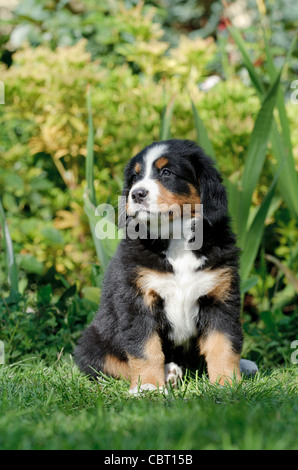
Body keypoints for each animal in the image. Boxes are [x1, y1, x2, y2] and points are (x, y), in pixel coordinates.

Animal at [74, 139, 256, 392]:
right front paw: (148, 386)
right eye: (135, 177)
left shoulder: (220, 296)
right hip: (93, 341)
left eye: (167, 172)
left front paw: (227, 382)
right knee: (111, 364)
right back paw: (168, 372)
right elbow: (144, 348)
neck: (176, 237)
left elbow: (224, 343)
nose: (137, 194)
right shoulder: (137, 299)